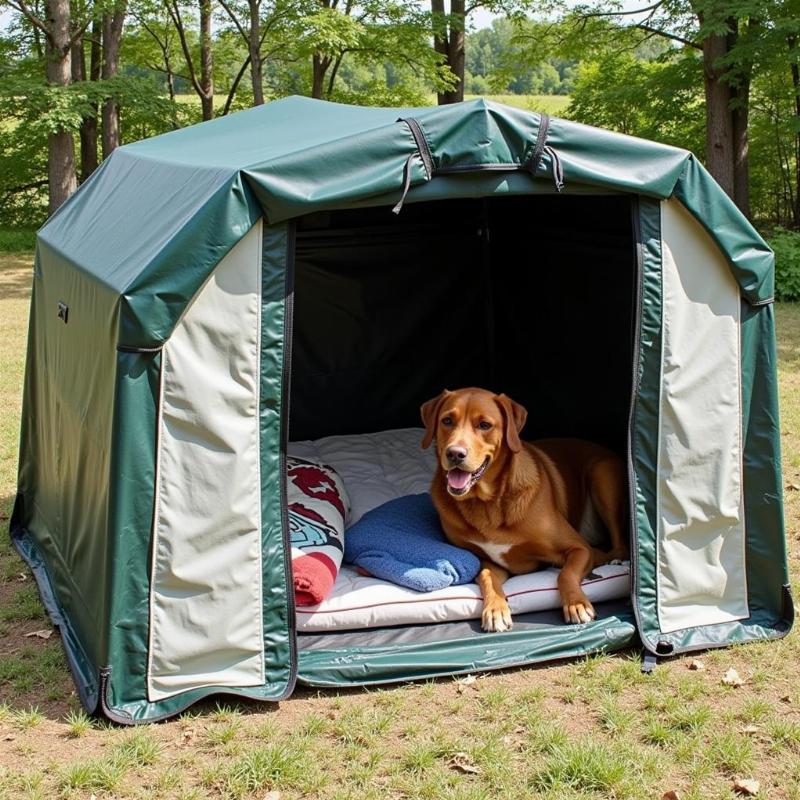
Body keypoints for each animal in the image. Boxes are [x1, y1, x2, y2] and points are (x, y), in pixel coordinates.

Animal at [422, 388, 628, 632]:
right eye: (447, 421)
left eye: (484, 425)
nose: (455, 453)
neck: (488, 503)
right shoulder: (487, 561)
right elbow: (487, 576)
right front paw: (495, 609)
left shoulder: (579, 548)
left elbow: (565, 574)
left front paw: (577, 604)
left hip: (601, 474)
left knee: (620, 546)